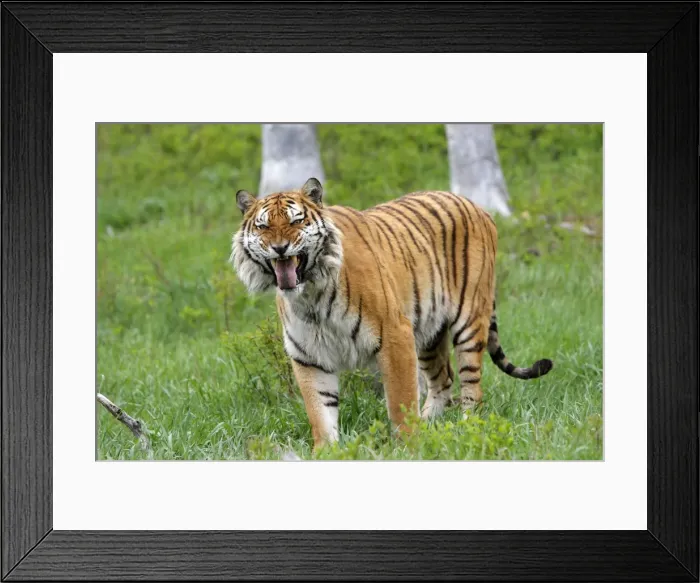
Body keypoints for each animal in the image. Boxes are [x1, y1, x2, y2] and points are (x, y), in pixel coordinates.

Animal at [230, 177, 553, 449]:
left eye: (296, 221)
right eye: (263, 227)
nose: (280, 248)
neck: (310, 294)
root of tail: (479, 207)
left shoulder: (394, 335)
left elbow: (401, 399)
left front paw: (409, 446)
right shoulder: (308, 355)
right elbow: (320, 412)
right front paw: (325, 452)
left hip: (469, 321)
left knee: (471, 386)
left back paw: (467, 427)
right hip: (428, 333)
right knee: (443, 380)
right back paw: (430, 423)